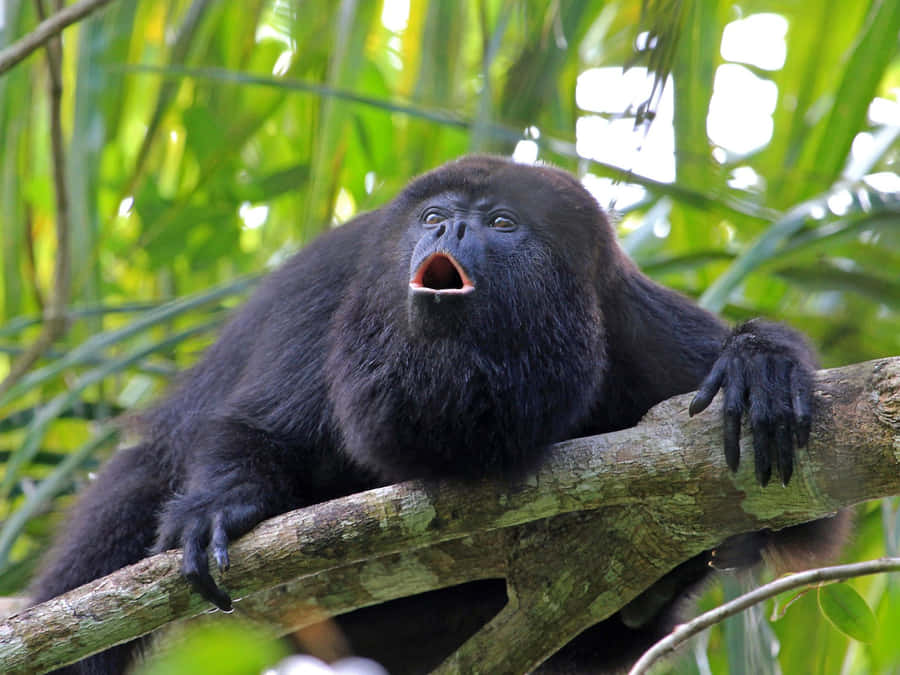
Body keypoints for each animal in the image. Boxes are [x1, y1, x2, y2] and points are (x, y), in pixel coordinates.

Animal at [30, 156, 845, 674]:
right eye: (432, 215)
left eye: (503, 222)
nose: (448, 231)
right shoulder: (338, 285)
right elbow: (259, 428)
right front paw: (219, 506)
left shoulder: (632, 321)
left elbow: (804, 516)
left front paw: (758, 364)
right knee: (130, 497)